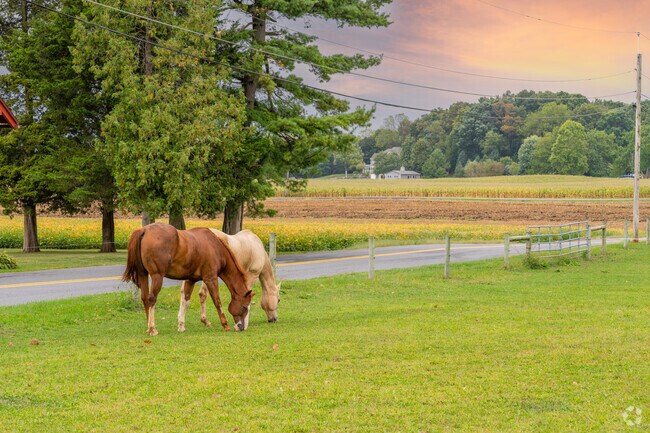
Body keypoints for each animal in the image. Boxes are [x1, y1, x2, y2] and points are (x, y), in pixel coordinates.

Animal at [122, 223, 254, 336]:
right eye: (244, 307)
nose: (242, 327)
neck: (214, 247)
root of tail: (144, 230)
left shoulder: (191, 280)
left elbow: (186, 301)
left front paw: (181, 326)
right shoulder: (210, 278)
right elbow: (217, 301)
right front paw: (225, 325)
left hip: (143, 274)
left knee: (145, 298)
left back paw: (148, 326)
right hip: (157, 276)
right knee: (151, 299)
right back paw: (152, 328)